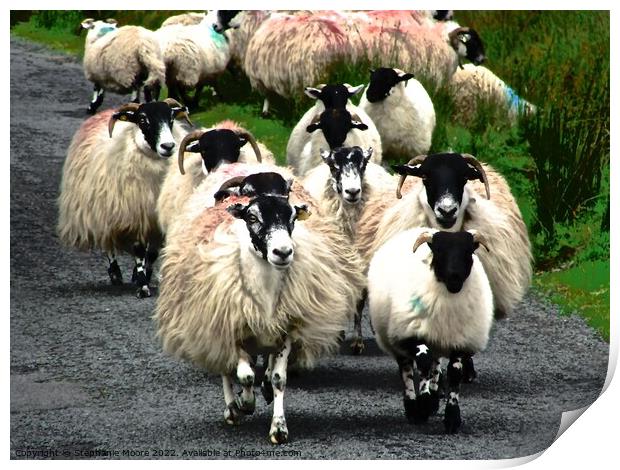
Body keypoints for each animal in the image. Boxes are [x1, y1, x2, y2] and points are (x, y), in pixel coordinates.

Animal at [58, 99, 194, 298]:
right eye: (143, 120)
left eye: (171, 119)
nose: (168, 146)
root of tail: (107, 112)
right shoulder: (134, 214)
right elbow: (139, 250)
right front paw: (143, 286)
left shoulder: (154, 220)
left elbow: (152, 254)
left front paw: (145, 275)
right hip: (105, 209)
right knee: (108, 242)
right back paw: (115, 273)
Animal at [368, 228, 494, 434]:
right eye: (439, 251)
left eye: (468, 251)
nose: (454, 277)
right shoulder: (410, 335)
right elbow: (423, 363)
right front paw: (423, 406)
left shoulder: (460, 341)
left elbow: (454, 374)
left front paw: (452, 417)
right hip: (398, 336)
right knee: (408, 370)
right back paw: (413, 407)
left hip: (438, 338)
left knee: (436, 366)